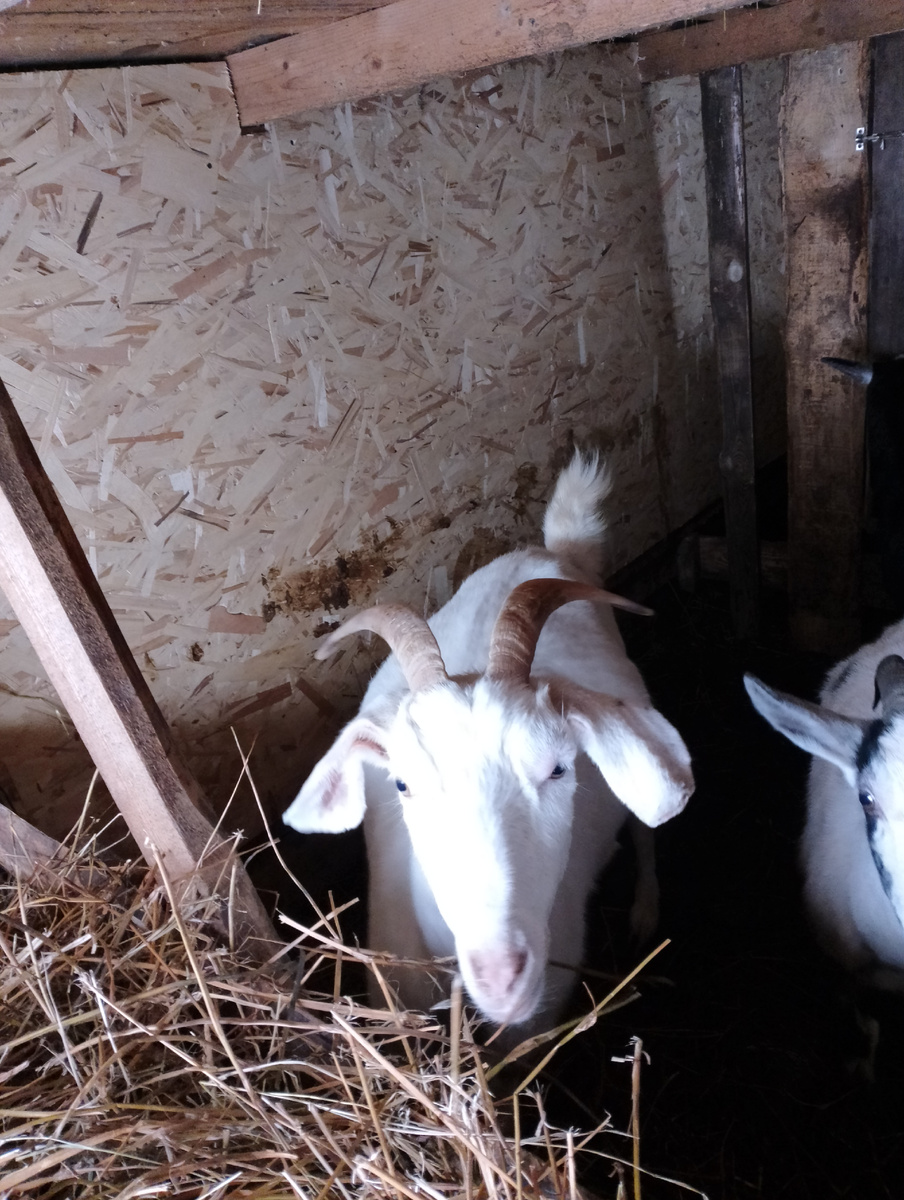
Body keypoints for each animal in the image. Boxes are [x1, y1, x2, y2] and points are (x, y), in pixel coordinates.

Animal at [283, 453, 695, 1030]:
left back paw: (644, 912)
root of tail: (553, 551)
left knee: (642, 829)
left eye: (559, 768)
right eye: (402, 784)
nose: (502, 977)